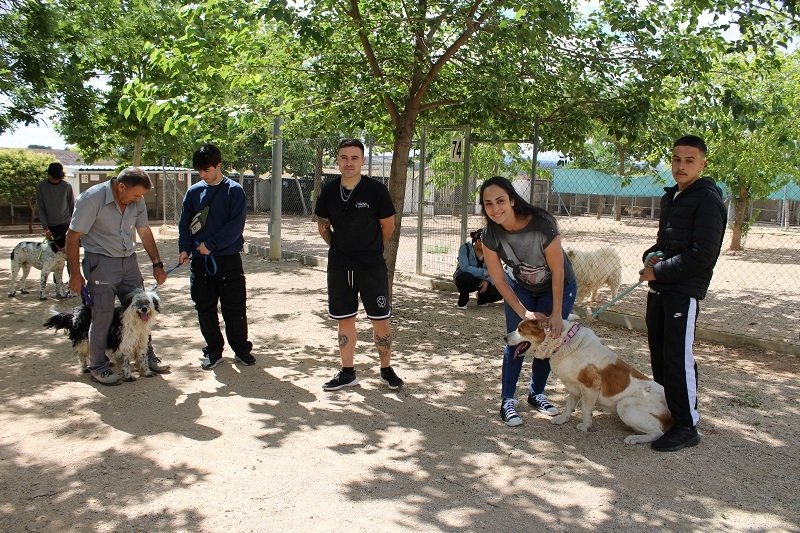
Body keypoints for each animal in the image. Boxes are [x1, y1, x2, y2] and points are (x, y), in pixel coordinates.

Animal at [510, 316, 672, 444]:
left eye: (520, 330)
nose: (505, 337)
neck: (564, 342)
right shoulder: (573, 387)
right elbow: (569, 406)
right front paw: (562, 419)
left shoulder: (589, 388)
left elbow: (585, 409)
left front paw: (585, 426)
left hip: (625, 405)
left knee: (658, 432)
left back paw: (635, 438)